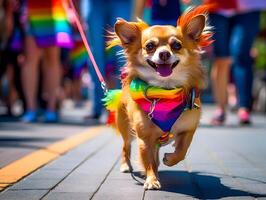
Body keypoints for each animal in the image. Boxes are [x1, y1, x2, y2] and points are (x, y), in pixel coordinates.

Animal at [103, 6, 213, 190]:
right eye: (149, 46)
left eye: (176, 45)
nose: (164, 54)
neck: (165, 92)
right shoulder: (145, 138)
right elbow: (148, 161)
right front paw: (152, 180)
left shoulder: (188, 129)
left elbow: (182, 150)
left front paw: (170, 159)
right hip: (126, 127)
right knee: (126, 146)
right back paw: (126, 165)